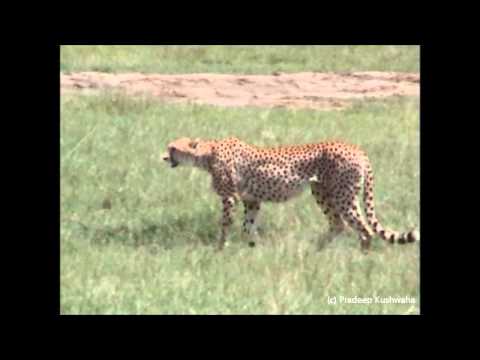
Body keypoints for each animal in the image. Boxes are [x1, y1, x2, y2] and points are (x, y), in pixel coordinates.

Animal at [161, 136, 416, 252]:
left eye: (172, 148)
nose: (163, 157)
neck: (206, 153)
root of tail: (356, 148)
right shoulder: (252, 200)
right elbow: (247, 226)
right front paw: (252, 248)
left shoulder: (229, 198)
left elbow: (225, 224)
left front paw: (220, 249)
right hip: (322, 192)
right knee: (338, 224)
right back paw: (317, 251)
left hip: (343, 196)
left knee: (363, 228)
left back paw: (361, 257)